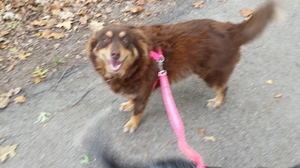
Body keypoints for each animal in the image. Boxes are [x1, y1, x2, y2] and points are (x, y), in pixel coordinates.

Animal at [88, 0, 278, 133]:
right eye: (105, 40)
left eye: (126, 40)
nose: (115, 54)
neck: (136, 63)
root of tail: (229, 28)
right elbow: (132, 100)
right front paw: (128, 103)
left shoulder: (144, 90)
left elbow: (138, 110)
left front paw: (132, 123)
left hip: (210, 74)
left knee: (223, 88)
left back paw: (217, 101)